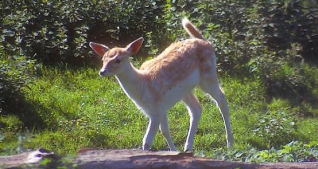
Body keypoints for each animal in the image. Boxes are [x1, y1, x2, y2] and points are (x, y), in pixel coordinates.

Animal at [89, 17, 234, 152]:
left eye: (118, 60)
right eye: (103, 59)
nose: (102, 71)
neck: (142, 86)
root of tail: (206, 41)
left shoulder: (157, 110)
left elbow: (147, 141)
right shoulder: (159, 108)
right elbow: (165, 131)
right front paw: (174, 152)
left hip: (208, 75)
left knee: (221, 98)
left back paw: (230, 143)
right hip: (185, 91)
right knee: (196, 109)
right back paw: (188, 148)